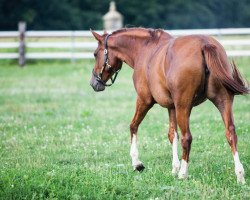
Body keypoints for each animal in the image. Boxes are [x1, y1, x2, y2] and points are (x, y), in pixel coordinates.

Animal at [89, 27, 248, 184]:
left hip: (184, 107)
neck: (145, 49)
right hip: (223, 101)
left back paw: (183, 173)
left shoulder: (144, 100)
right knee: (230, 133)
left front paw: (137, 163)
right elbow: (172, 134)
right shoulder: (171, 107)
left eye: (95, 54)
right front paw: (174, 168)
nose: (93, 83)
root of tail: (205, 44)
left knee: (187, 137)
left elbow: (133, 126)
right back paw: (239, 174)